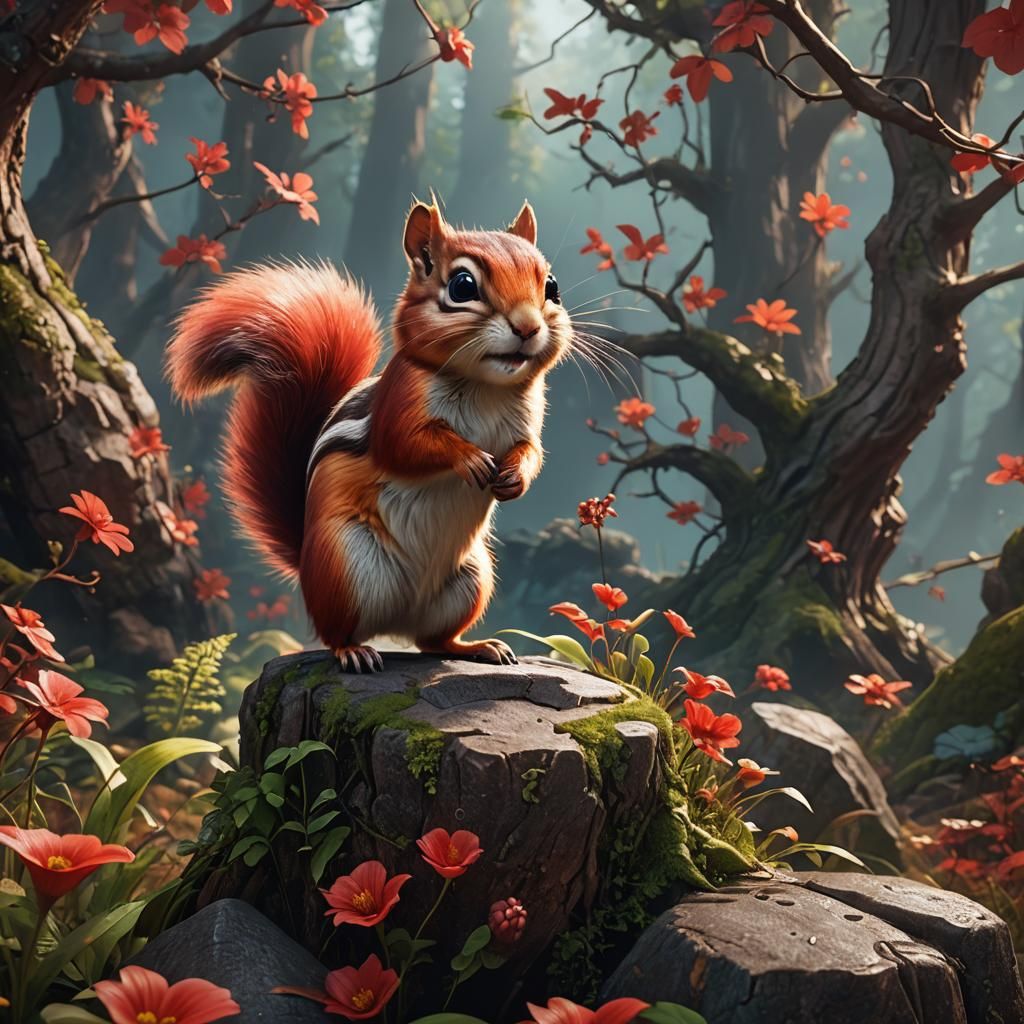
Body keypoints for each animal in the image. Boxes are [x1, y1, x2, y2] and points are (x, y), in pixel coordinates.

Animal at [166, 199, 571, 672]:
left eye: (552, 287)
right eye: (462, 285)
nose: (527, 327)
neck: (486, 386)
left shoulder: (529, 419)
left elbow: (530, 450)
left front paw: (514, 476)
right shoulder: (399, 403)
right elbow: (406, 446)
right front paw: (469, 458)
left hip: (471, 579)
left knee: (433, 642)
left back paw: (478, 647)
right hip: (344, 566)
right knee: (335, 632)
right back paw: (354, 652)